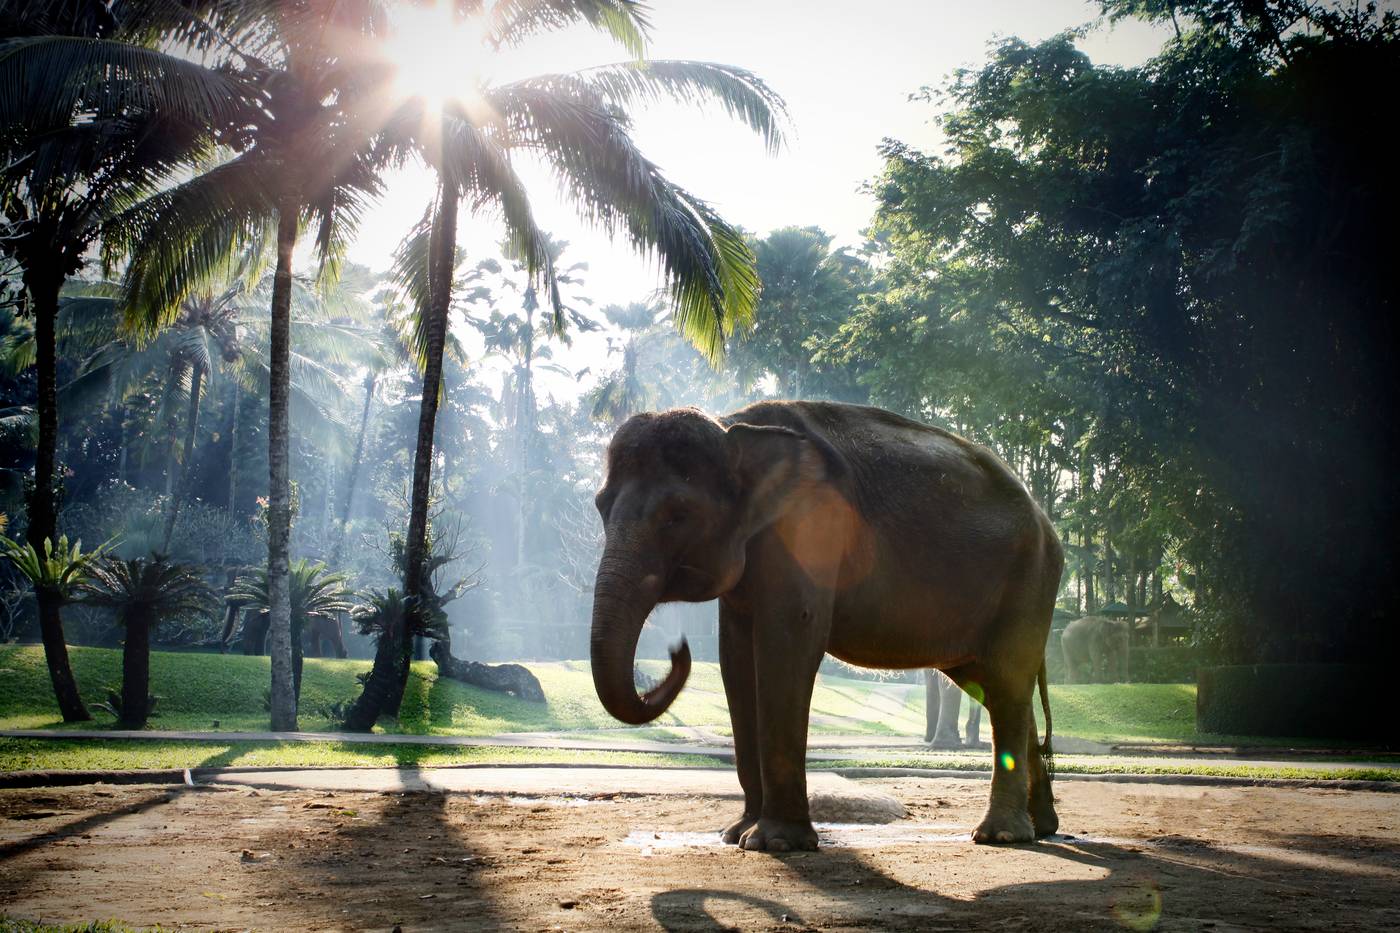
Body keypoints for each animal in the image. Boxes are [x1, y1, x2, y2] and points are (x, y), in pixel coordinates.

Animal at [589, 401, 1062, 850]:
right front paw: (735, 833)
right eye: (600, 507)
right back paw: (1042, 828)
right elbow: (735, 660)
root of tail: (1044, 519)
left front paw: (774, 842)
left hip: (1029, 583)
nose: (678, 649)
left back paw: (1002, 835)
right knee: (997, 688)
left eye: (676, 515)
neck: (733, 427)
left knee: (1007, 681)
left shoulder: (809, 529)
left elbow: (789, 642)